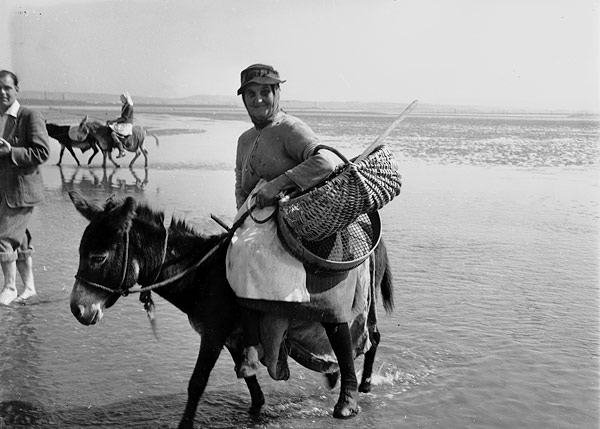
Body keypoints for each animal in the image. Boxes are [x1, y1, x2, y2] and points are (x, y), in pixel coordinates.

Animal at [69, 191, 394, 428]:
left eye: (98, 257)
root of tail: (373, 239)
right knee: (370, 336)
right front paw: (257, 407)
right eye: (81, 253)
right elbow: (249, 380)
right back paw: (346, 381)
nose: (77, 310)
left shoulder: (213, 334)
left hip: (340, 300)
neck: (202, 274)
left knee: (360, 336)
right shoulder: (232, 336)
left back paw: (353, 396)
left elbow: (196, 383)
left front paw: (184, 425)